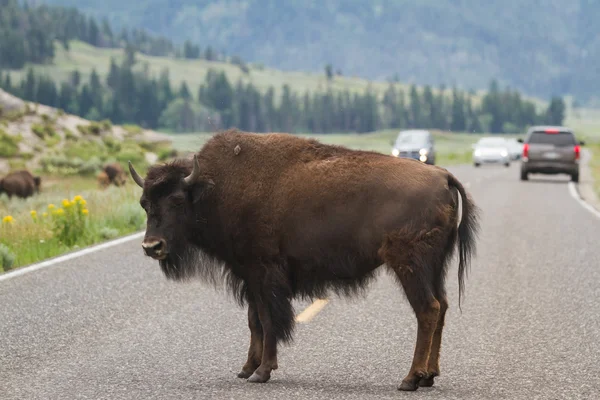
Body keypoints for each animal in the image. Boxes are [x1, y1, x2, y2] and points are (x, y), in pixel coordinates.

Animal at [129, 130, 480, 392]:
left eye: (177, 201)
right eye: (144, 203)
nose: (152, 246)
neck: (214, 188)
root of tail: (442, 176)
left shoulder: (263, 273)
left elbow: (269, 320)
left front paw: (262, 372)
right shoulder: (250, 277)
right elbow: (254, 321)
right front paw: (246, 369)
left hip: (410, 266)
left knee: (427, 310)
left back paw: (410, 379)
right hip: (435, 267)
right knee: (442, 306)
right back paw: (429, 376)